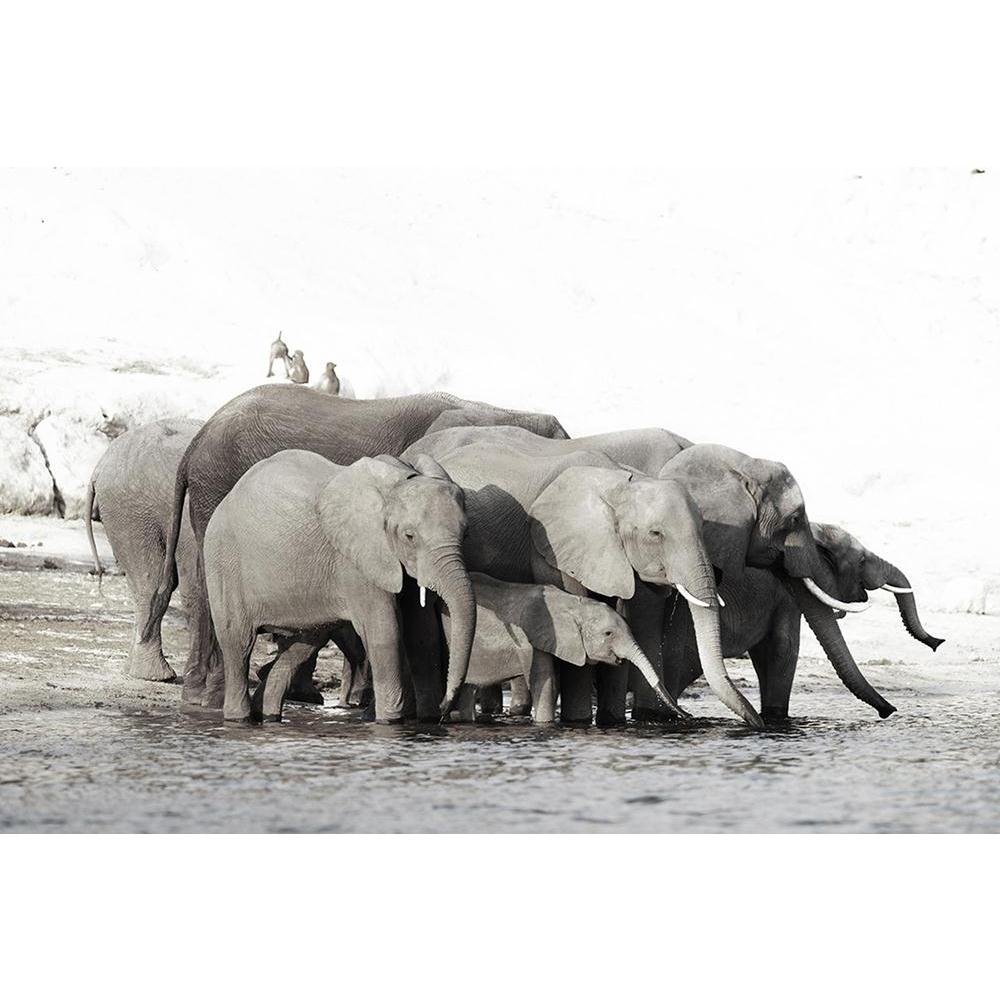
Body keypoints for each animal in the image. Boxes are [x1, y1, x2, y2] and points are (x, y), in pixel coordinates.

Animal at [203, 450, 476, 723]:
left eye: (465, 534)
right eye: (409, 536)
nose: (446, 708)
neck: (397, 484)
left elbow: (422, 632)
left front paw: (428, 721)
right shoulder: (357, 560)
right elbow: (385, 632)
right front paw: (389, 721)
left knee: (303, 645)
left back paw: (267, 714)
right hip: (224, 562)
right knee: (238, 643)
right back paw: (239, 717)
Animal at [445, 572, 675, 723]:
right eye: (608, 634)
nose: (682, 715)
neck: (573, 605)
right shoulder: (530, 639)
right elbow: (545, 683)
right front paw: (544, 724)